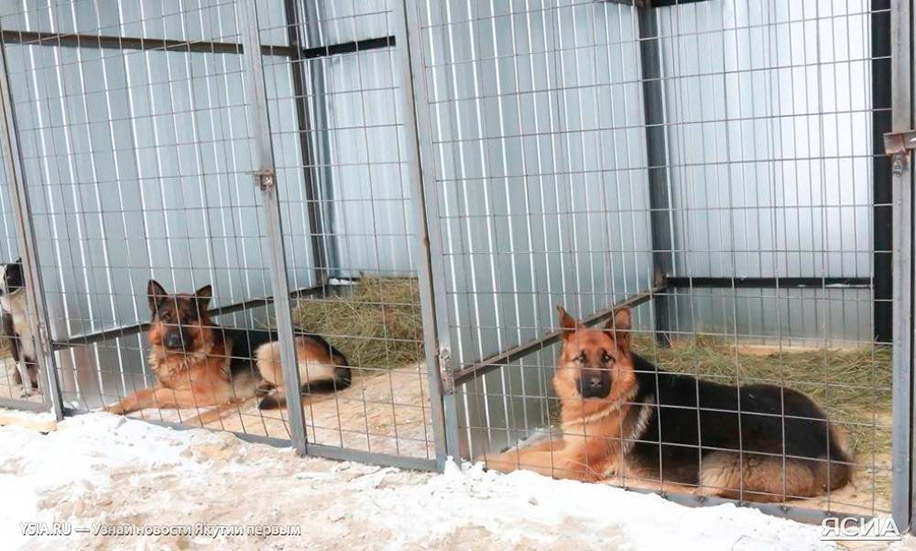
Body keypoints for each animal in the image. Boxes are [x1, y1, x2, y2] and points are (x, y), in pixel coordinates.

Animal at [105, 282, 352, 416]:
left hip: (267, 349)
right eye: (166, 317)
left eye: (187, 319)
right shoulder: (164, 383)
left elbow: (160, 394)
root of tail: (337, 353)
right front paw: (114, 408)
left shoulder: (208, 393)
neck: (183, 357)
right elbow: (139, 393)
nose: (175, 340)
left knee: (300, 385)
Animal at [486, 306, 852, 504]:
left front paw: (486, 460)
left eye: (607, 359)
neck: (623, 391)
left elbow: (526, 460)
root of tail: (831, 453)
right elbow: (529, 450)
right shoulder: (569, 447)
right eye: (581, 358)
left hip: (716, 466)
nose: (595, 387)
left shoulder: (575, 464)